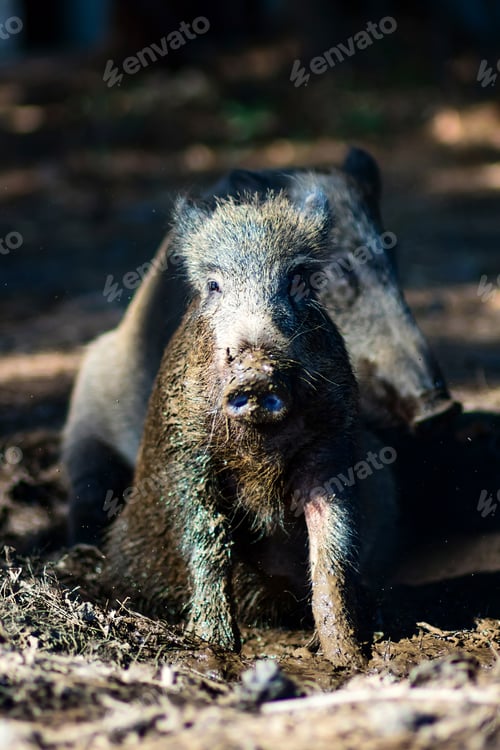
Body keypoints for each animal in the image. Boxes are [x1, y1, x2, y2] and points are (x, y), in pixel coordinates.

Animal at [103, 190, 398, 666]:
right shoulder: (188, 454)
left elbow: (332, 545)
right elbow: (207, 539)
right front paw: (215, 648)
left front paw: (348, 658)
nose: (257, 369)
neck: (258, 448)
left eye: (298, 281)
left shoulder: (330, 448)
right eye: (213, 286)